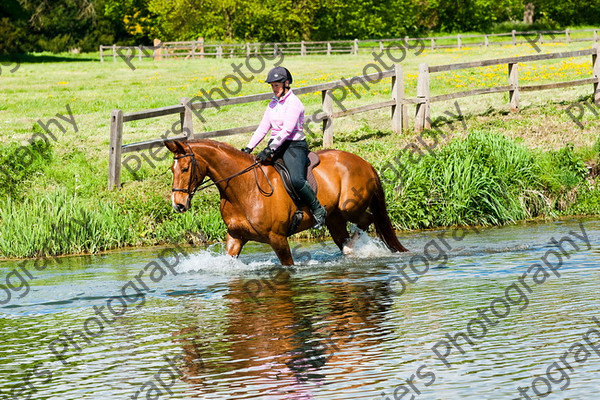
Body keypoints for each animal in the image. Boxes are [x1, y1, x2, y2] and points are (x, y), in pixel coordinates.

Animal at [165, 139, 408, 264]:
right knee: (347, 232)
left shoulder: (278, 238)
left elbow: (287, 266)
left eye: (185, 168)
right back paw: (350, 249)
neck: (243, 188)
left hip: (350, 207)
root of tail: (364, 162)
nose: (179, 204)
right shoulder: (235, 237)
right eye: (172, 169)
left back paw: (353, 246)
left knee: (368, 218)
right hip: (335, 219)